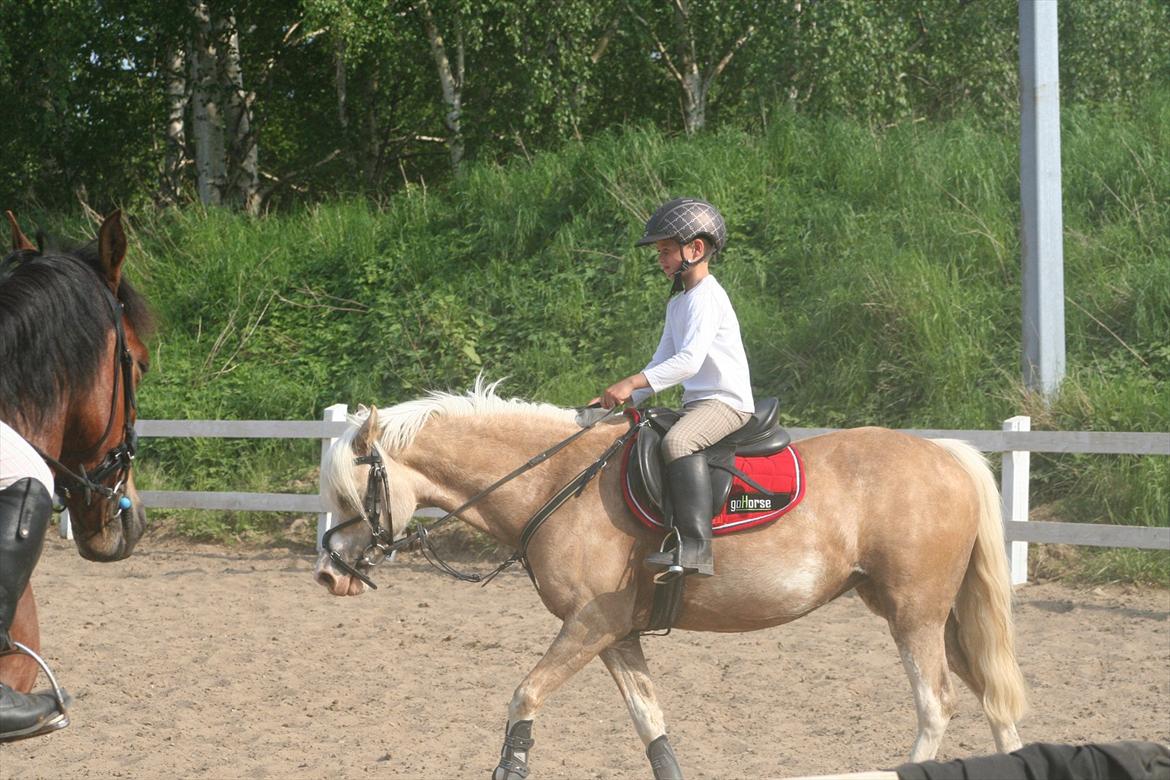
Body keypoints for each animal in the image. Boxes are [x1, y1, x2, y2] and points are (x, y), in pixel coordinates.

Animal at [315, 381, 1029, 776]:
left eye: (353, 492)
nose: (327, 574)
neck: (556, 481)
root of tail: (948, 454)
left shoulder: (591, 622)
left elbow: (524, 698)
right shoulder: (615, 633)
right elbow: (650, 723)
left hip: (914, 614)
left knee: (936, 704)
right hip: (937, 615)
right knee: (992, 697)